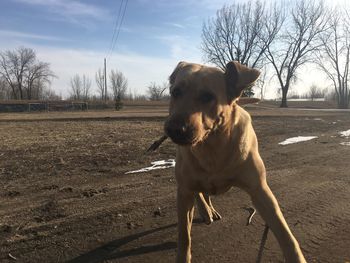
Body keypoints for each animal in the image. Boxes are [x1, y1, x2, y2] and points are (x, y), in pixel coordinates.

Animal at [165, 60, 306, 262]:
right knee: (198, 192)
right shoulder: (184, 192)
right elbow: (184, 236)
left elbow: (285, 233)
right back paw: (205, 210)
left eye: (207, 96)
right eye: (175, 92)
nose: (174, 129)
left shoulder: (260, 190)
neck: (212, 146)